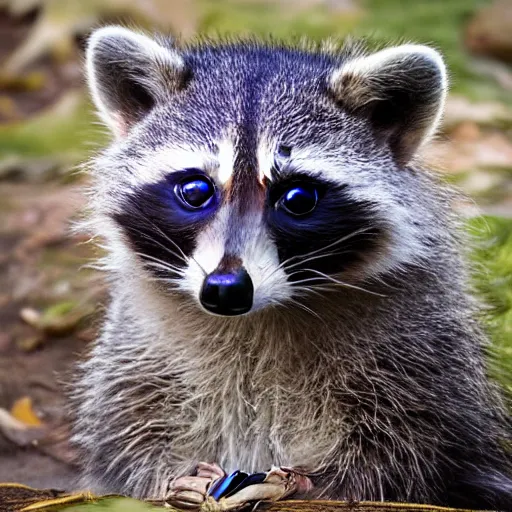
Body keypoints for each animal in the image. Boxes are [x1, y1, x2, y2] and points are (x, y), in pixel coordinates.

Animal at [72, 26, 512, 510]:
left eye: (297, 198)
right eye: (196, 190)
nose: (225, 287)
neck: (255, 318)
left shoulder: (418, 347)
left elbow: (401, 461)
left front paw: (304, 482)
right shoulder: (136, 349)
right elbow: (123, 446)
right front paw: (170, 478)